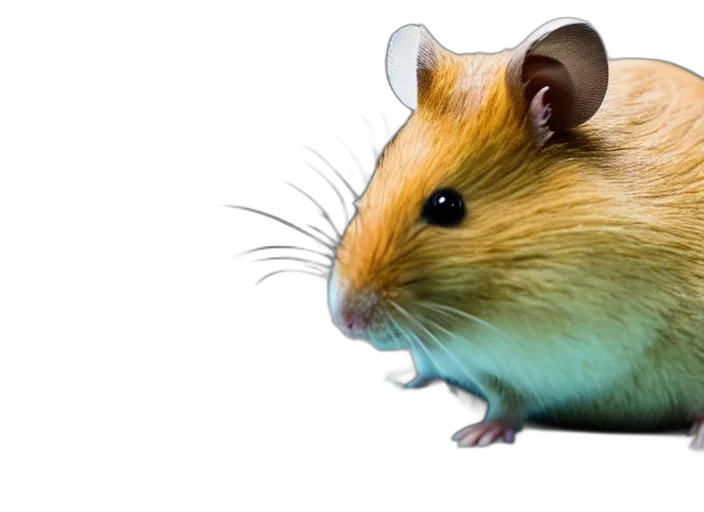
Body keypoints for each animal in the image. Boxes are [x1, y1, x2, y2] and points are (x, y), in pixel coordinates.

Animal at [327, 18, 704, 451]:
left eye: (446, 207)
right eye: (365, 196)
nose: (345, 323)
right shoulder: (495, 371)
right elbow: (505, 403)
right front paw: (474, 436)